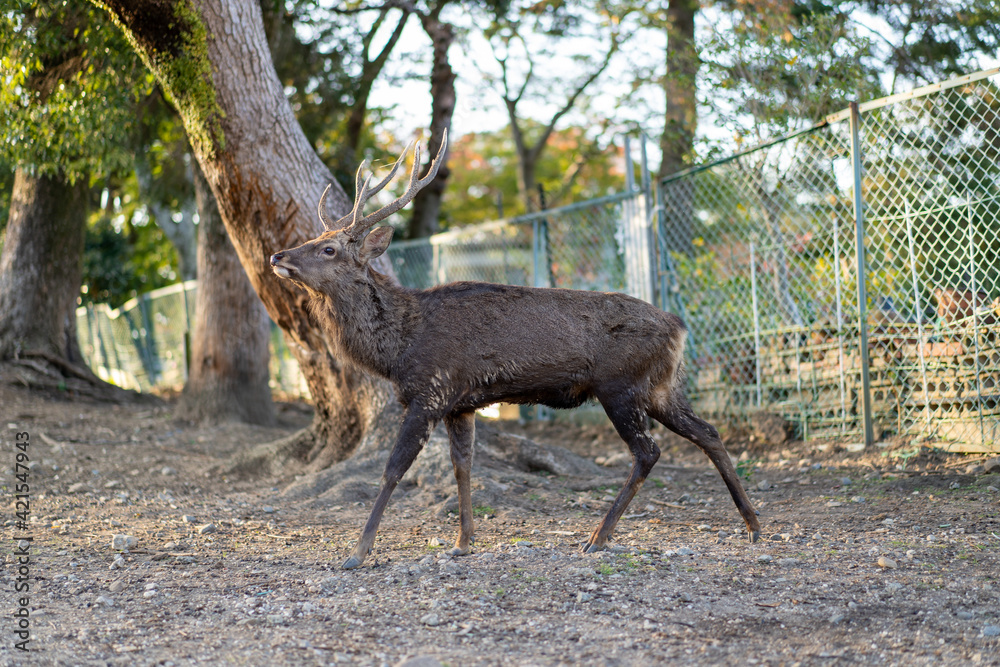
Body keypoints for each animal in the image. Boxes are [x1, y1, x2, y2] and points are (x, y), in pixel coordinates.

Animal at [270, 132, 761, 569]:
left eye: (329, 248)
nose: (278, 256)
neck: (397, 349)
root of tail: (680, 327)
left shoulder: (429, 391)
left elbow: (394, 469)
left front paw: (358, 552)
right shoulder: (461, 403)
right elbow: (463, 468)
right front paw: (463, 542)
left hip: (620, 385)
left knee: (649, 451)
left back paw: (598, 537)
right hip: (659, 387)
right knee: (708, 432)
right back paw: (753, 524)